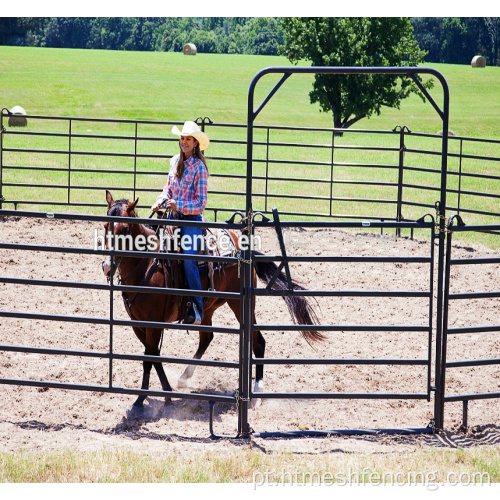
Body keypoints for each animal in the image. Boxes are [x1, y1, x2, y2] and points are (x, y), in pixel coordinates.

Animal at [101, 191, 322, 410]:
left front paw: (140, 399)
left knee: (258, 341)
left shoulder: (153, 324)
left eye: (125, 228)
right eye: (105, 226)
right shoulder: (137, 324)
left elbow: (148, 358)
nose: (107, 267)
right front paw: (166, 392)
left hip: (240, 305)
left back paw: (256, 392)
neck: (147, 265)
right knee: (206, 338)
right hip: (207, 307)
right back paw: (184, 377)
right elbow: (153, 355)